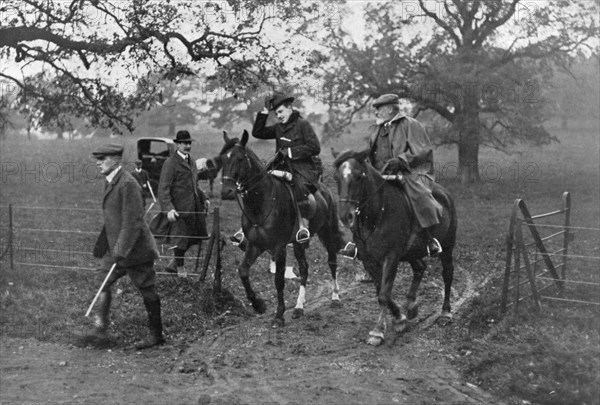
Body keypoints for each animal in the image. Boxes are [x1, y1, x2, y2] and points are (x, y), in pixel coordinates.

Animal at [220, 131, 344, 326]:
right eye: (223, 159)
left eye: (240, 158)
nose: (227, 192)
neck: (261, 204)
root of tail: (325, 189)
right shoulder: (255, 245)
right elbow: (243, 271)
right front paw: (258, 305)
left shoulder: (278, 247)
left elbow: (279, 280)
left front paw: (279, 315)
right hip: (299, 243)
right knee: (304, 268)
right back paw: (299, 307)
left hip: (328, 232)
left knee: (332, 262)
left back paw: (335, 297)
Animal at [336, 150, 458, 346]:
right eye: (337, 177)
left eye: (359, 176)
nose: (345, 216)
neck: (378, 214)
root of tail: (445, 193)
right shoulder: (369, 260)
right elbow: (381, 290)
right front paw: (399, 317)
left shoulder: (391, 257)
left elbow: (384, 295)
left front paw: (378, 331)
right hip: (411, 252)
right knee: (420, 268)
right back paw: (410, 305)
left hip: (447, 247)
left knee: (447, 275)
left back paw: (445, 313)